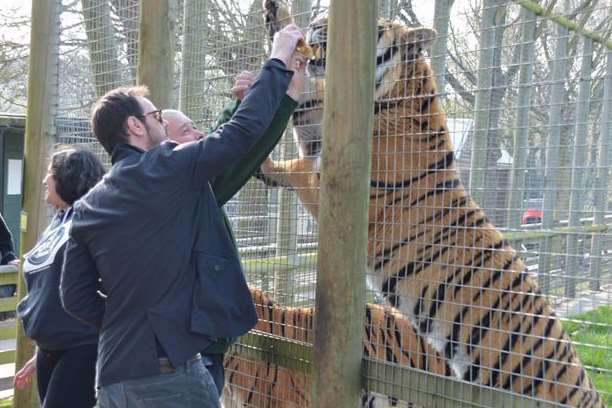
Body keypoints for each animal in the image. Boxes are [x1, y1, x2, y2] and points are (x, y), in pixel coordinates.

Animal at [251, 1, 604, 406]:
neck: (399, 92)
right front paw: (278, 17)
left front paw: (261, 162)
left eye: (377, 26)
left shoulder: (330, 175)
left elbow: (300, 150)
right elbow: (307, 100)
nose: (316, 22)